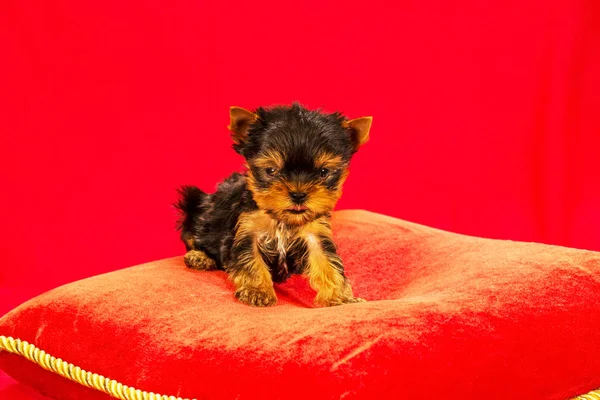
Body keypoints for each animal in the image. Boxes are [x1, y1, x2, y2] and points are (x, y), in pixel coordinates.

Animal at [175, 102, 370, 306]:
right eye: (271, 170)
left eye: (323, 172)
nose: (298, 194)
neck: (281, 218)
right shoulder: (247, 229)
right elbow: (250, 259)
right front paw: (257, 291)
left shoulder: (315, 233)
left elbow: (328, 263)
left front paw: (341, 298)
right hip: (197, 205)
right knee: (193, 234)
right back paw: (199, 257)